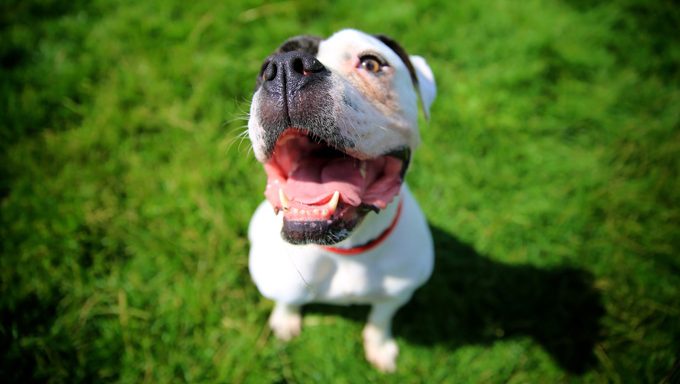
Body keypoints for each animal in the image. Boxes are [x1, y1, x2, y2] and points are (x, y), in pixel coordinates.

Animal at [248, 28, 436, 370]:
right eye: (264, 68)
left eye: (372, 63)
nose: (284, 68)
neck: (346, 252)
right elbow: (286, 301)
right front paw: (285, 320)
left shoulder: (398, 295)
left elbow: (380, 317)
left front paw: (380, 346)